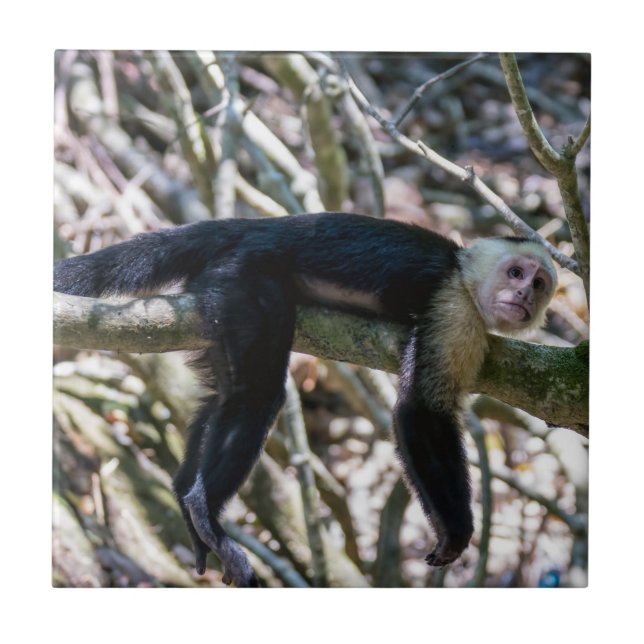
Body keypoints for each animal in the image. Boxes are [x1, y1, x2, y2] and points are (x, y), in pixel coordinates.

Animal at [54, 212, 557, 586]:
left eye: (538, 284)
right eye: (515, 272)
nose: (522, 295)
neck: (462, 271)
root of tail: (256, 226)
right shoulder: (453, 306)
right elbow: (420, 411)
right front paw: (455, 531)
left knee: (224, 395)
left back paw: (187, 505)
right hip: (244, 275)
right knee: (258, 394)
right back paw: (204, 509)